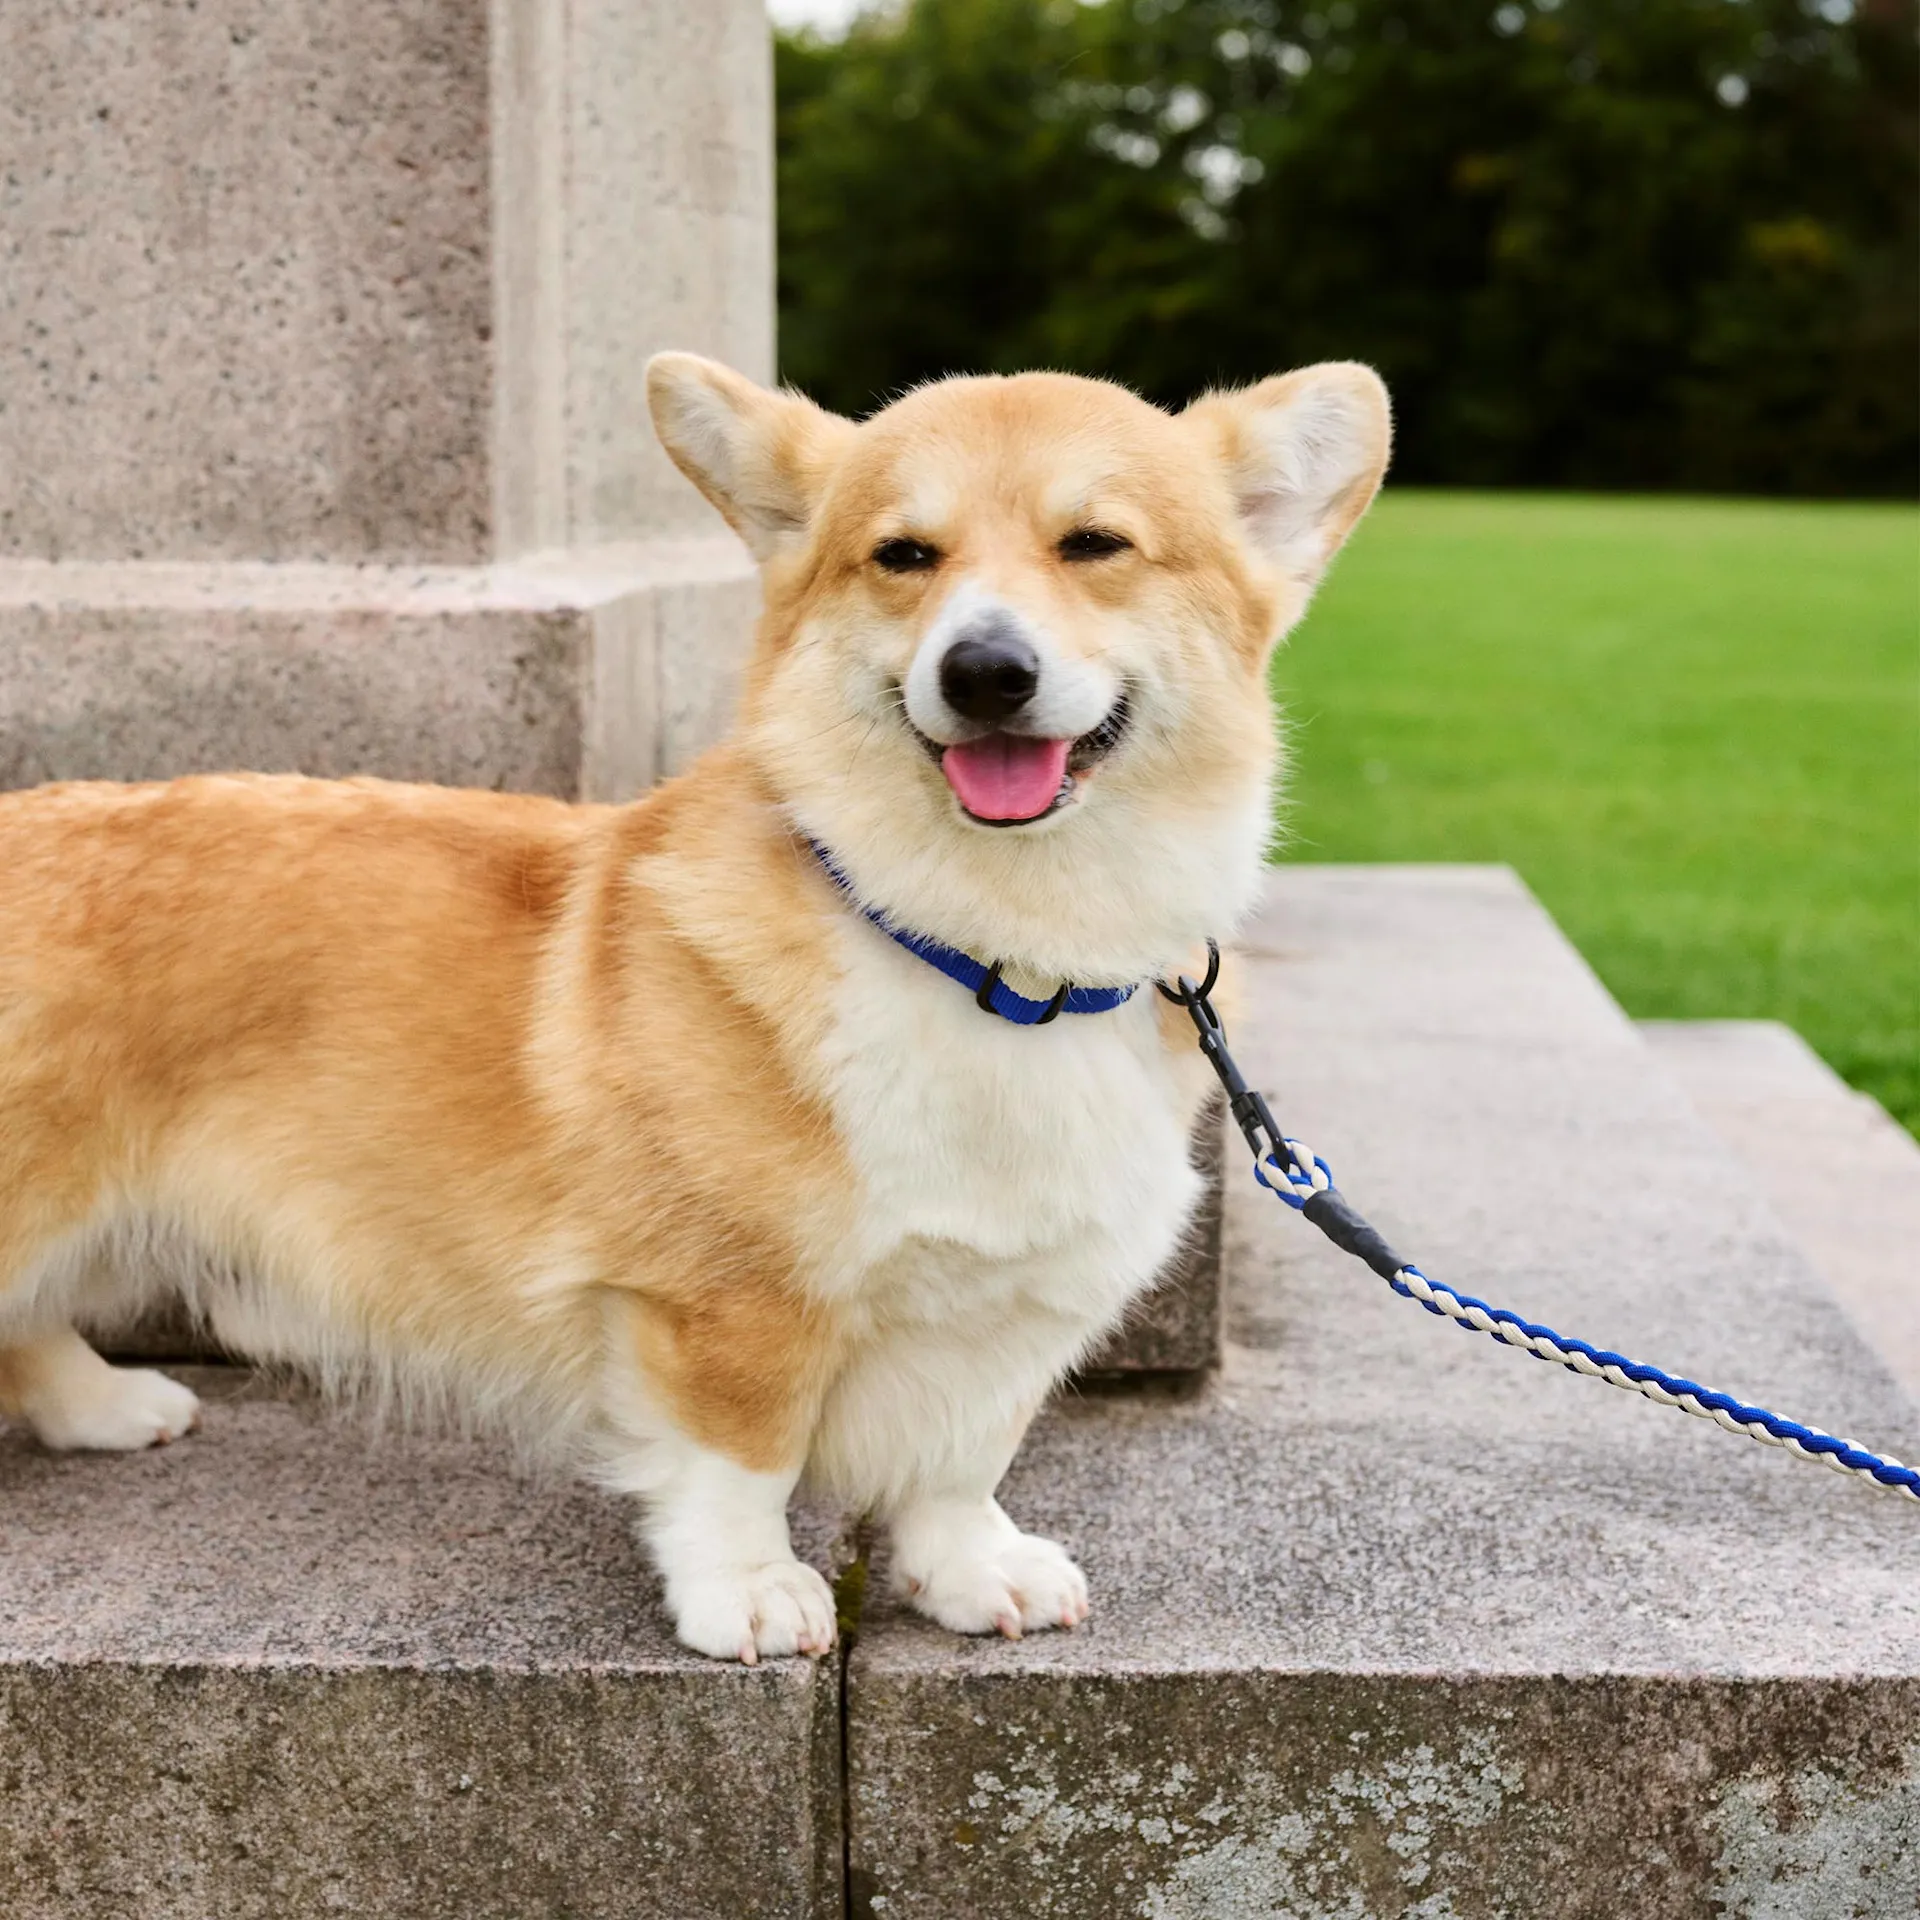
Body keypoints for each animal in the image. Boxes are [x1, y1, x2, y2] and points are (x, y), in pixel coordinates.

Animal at [0, 353, 1390, 1658]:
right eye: (903, 555)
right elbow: (739, 1465)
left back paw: (106, 1408)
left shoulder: (1009, 1312)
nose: (985, 671)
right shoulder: (722, 1305)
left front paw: (973, 1572)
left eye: (1095, 544)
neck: (992, 956)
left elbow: (961, 1458)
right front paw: (751, 1595)